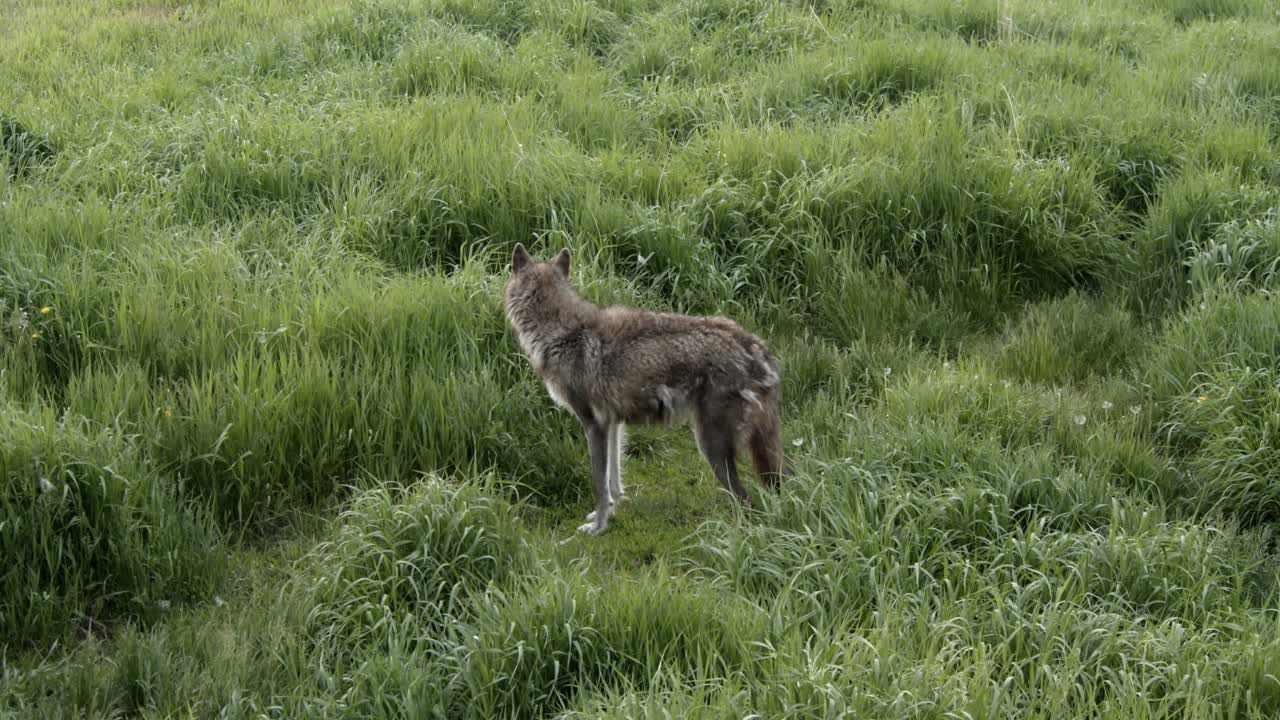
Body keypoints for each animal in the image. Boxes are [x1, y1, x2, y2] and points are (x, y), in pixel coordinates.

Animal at [503, 243, 786, 535]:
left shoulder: (594, 424)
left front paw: (598, 527)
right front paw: (611, 512)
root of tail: (758, 349)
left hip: (711, 447)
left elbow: (599, 485)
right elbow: (613, 482)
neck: (563, 333)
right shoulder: (613, 424)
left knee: (745, 501)